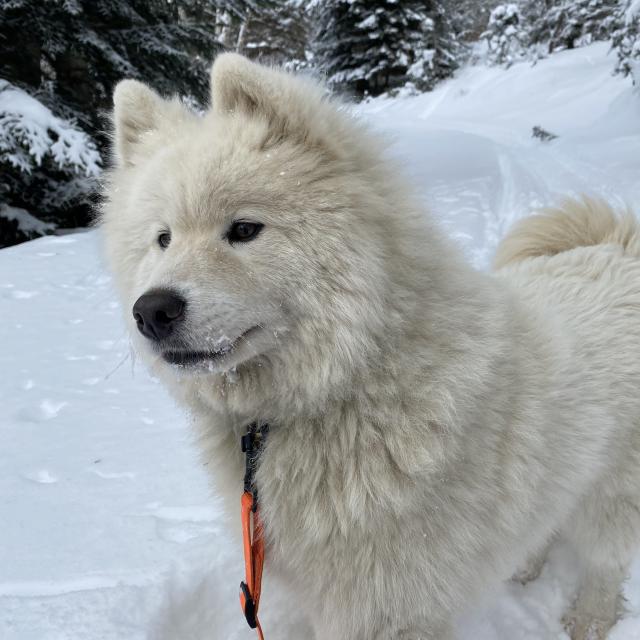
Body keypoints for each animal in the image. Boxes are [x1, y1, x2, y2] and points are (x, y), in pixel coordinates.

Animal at [100, 55, 640, 640]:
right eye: (163, 239)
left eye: (243, 229)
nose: (151, 311)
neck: (353, 381)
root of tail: (617, 249)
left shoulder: (389, 604)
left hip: (611, 493)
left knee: (605, 562)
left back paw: (588, 620)